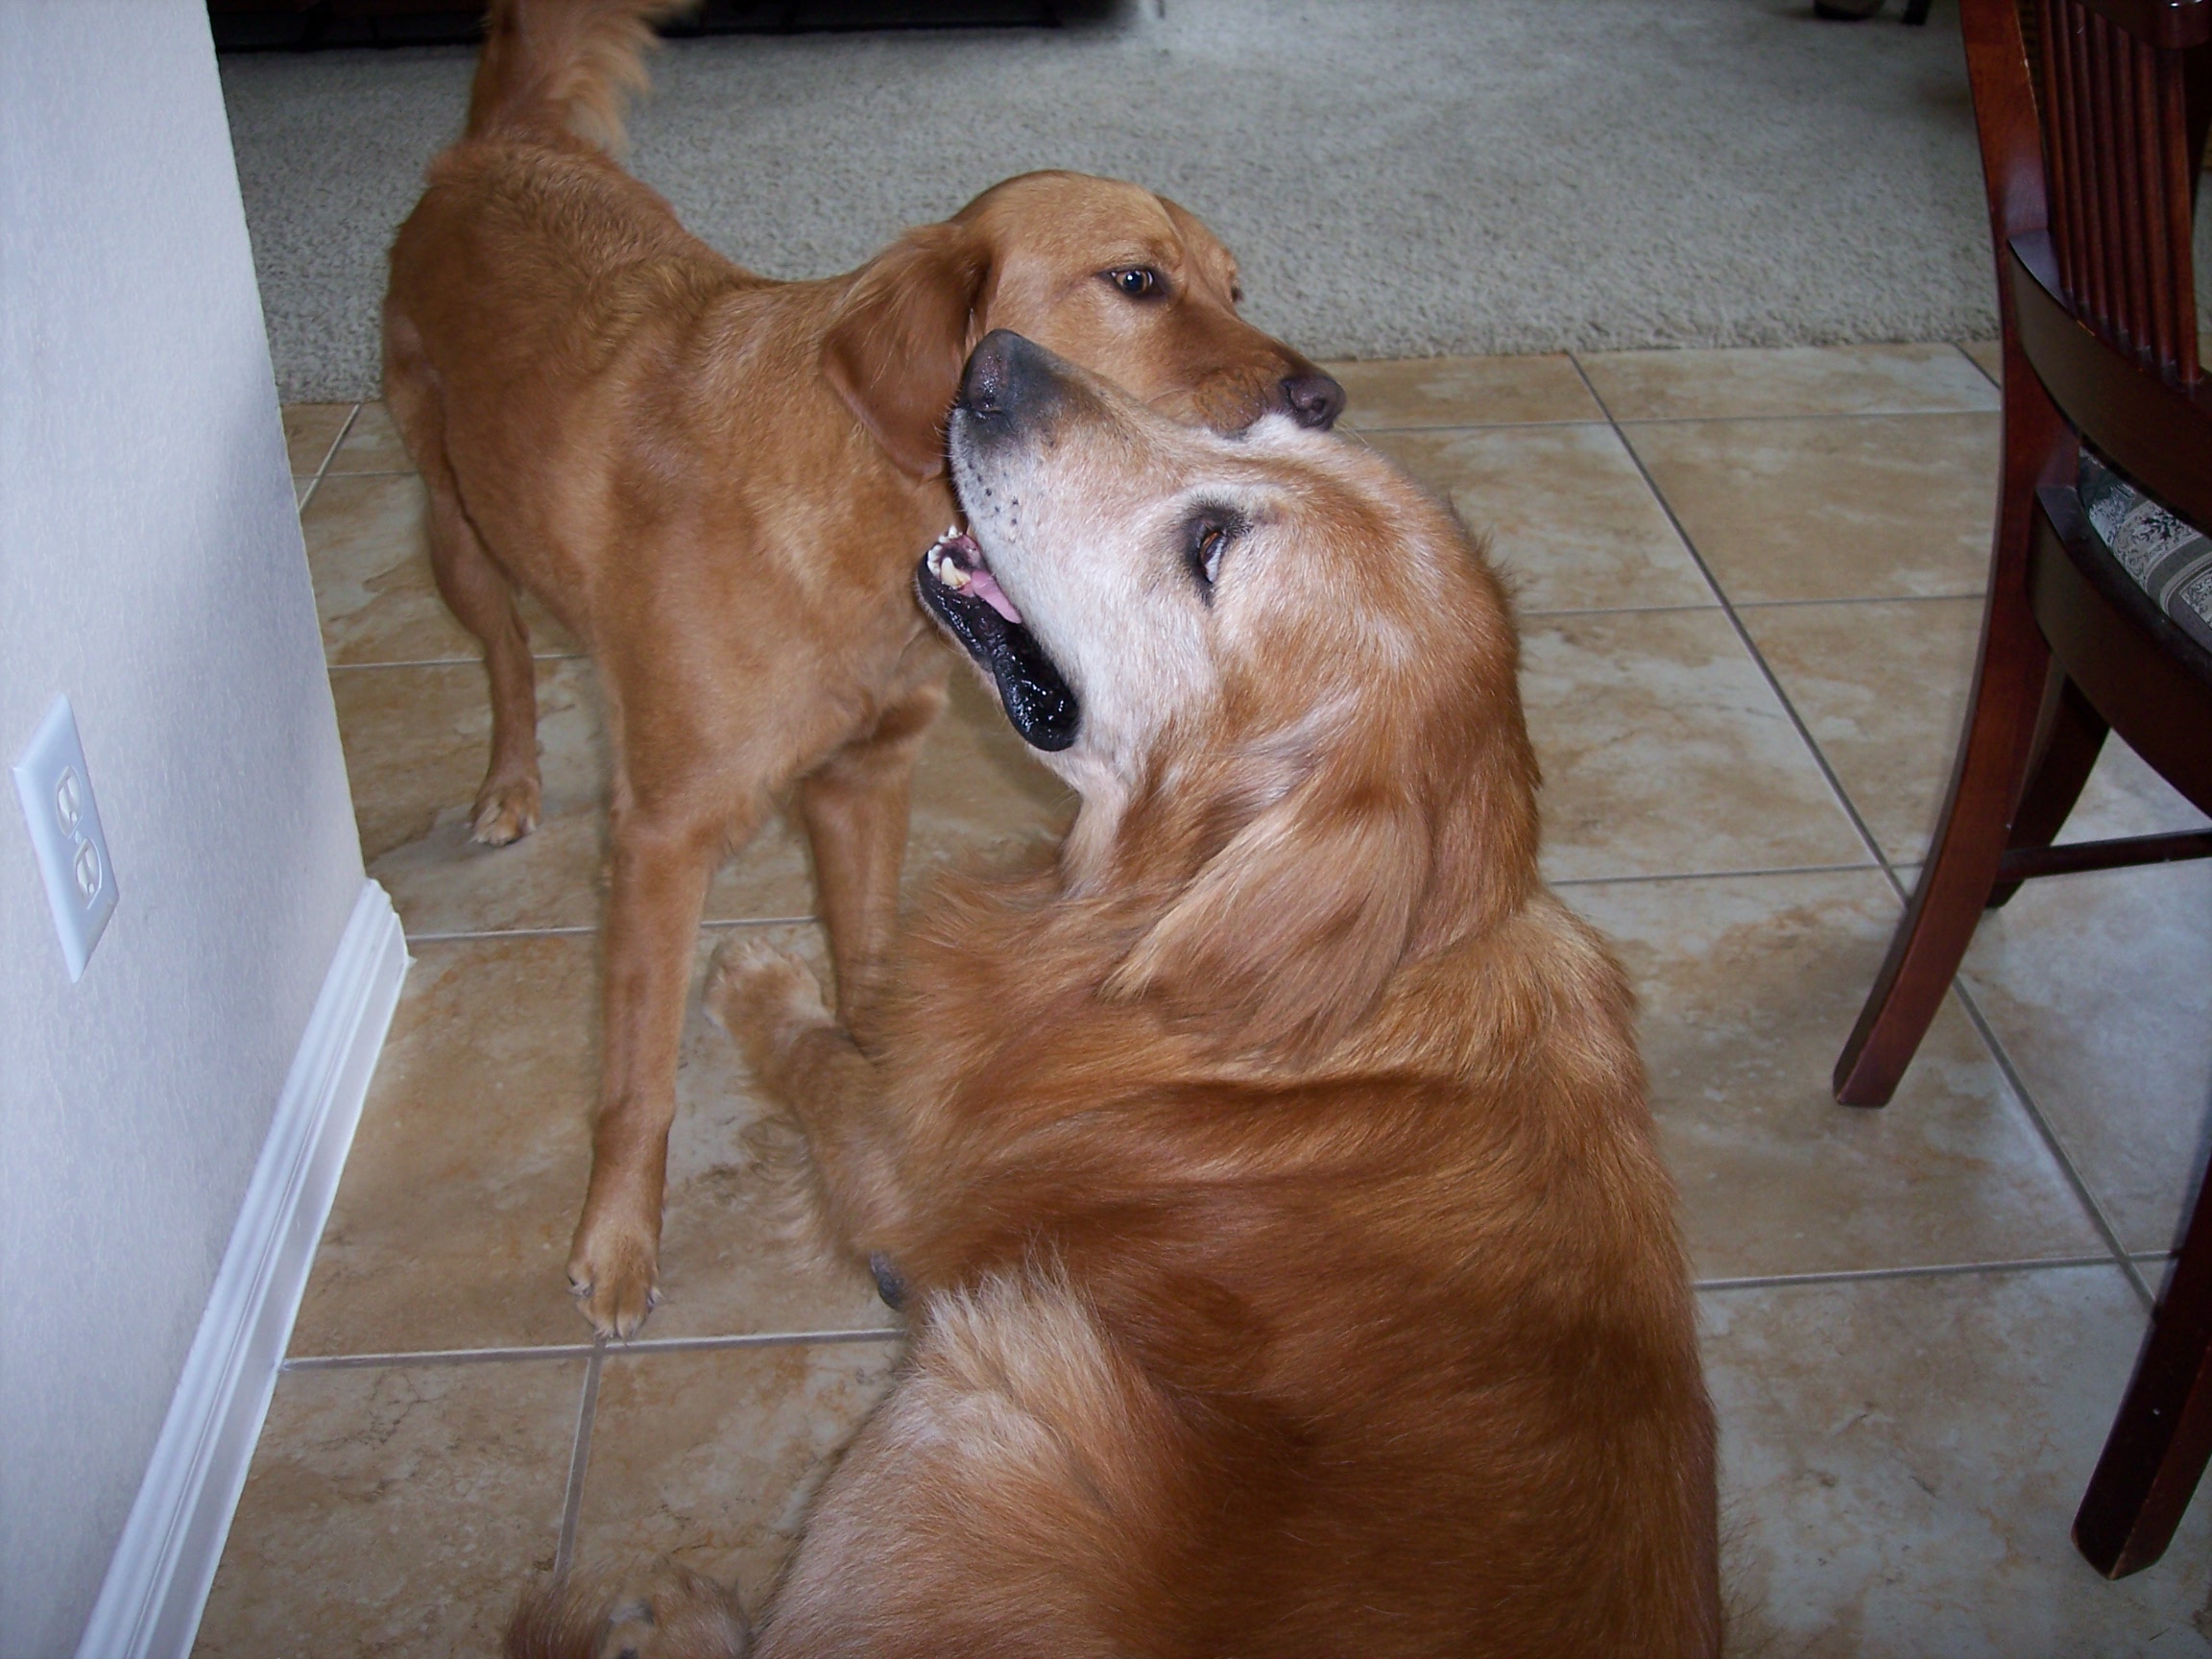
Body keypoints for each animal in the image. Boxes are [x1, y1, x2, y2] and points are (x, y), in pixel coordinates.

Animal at [382, 0, 1344, 1334]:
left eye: (1234, 288)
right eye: (1136, 283)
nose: (1326, 398)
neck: (867, 521)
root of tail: (497, 149)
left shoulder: (861, 781)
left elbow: (869, 964)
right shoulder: (664, 837)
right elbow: (638, 1077)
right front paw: (617, 1241)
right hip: (455, 531)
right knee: (511, 662)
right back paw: (509, 782)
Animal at [509, 331, 1721, 1656]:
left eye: (1213, 545)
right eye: (1256, 436)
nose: (995, 359)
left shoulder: (903, 1176)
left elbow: (828, 1059)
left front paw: (759, 982)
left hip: (1008, 1377)